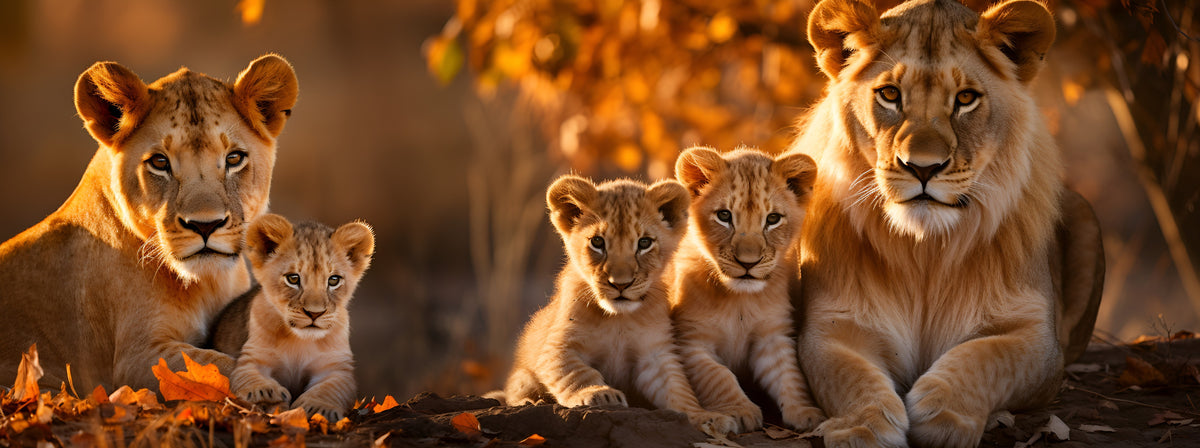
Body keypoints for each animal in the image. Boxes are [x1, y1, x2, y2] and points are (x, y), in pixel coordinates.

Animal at [0, 55, 298, 392]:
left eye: (234, 158)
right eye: (159, 162)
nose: (205, 226)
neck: (208, 285)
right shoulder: (138, 357)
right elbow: (223, 365)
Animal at [210, 214, 374, 421]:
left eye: (334, 280)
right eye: (293, 279)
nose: (314, 313)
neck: (299, 341)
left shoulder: (337, 367)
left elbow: (331, 388)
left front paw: (318, 407)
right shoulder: (253, 356)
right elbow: (248, 375)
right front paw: (265, 393)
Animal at [502, 175, 737, 435]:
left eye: (644, 243)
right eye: (597, 242)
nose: (620, 284)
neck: (619, 319)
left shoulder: (655, 354)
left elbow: (679, 390)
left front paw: (706, 417)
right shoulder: (555, 347)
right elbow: (576, 372)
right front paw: (600, 393)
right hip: (521, 375)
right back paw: (530, 401)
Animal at [669, 146, 824, 432]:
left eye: (773, 219)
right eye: (724, 216)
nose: (748, 263)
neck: (739, 299)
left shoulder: (772, 335)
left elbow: (789, 374)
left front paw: (806, 411)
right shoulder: (690, 341)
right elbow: (718, 376)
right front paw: (740, 410)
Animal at [789, 0, 1104, 446]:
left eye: (966, 99)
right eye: (890, 94)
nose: (923, 168)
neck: (925, 251)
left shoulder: (1040, 342)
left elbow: (985, 357)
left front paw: (943, 412)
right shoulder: (830, 327)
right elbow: (850, 376)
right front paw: (862, 426)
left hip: (1085, 215)